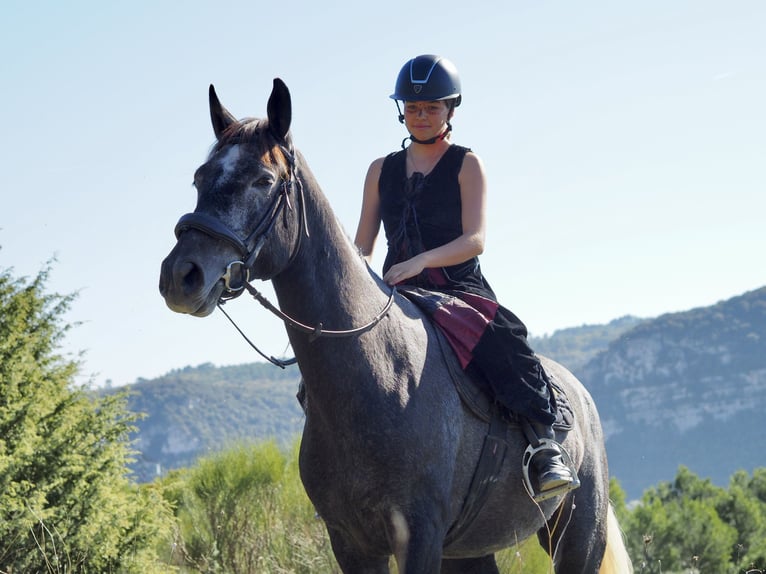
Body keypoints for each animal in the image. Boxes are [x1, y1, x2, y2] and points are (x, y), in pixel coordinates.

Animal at [159, 77, 632, 574]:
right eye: (199, 178)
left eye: (263, 180)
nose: (181, 275)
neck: (374, 375)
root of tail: (580, 394)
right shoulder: (351, 542)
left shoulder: (418, 535)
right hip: (471, 550)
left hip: (577, 535)